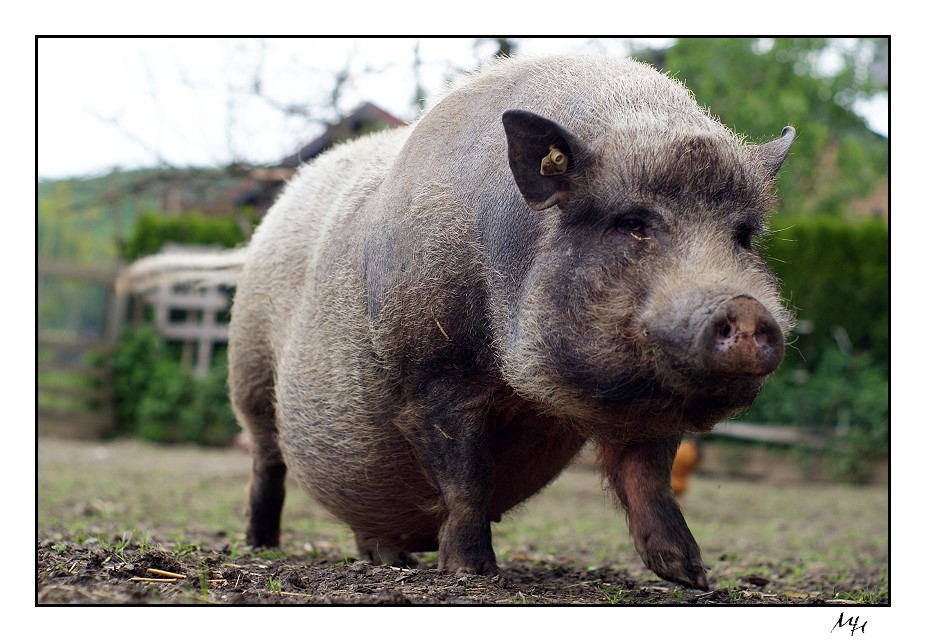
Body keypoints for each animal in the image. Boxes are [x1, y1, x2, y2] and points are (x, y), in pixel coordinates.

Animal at [123, 52, 796, 588]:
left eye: (742, 235)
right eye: (632, 223)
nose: (744, 309)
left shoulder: (644, 405)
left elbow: (647, 479)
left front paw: (692, 577)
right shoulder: (430, 372)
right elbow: (467, 475)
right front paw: (473, 573)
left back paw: (387, 559)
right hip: (250, 371)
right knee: (266, 460)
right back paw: (262, 545)